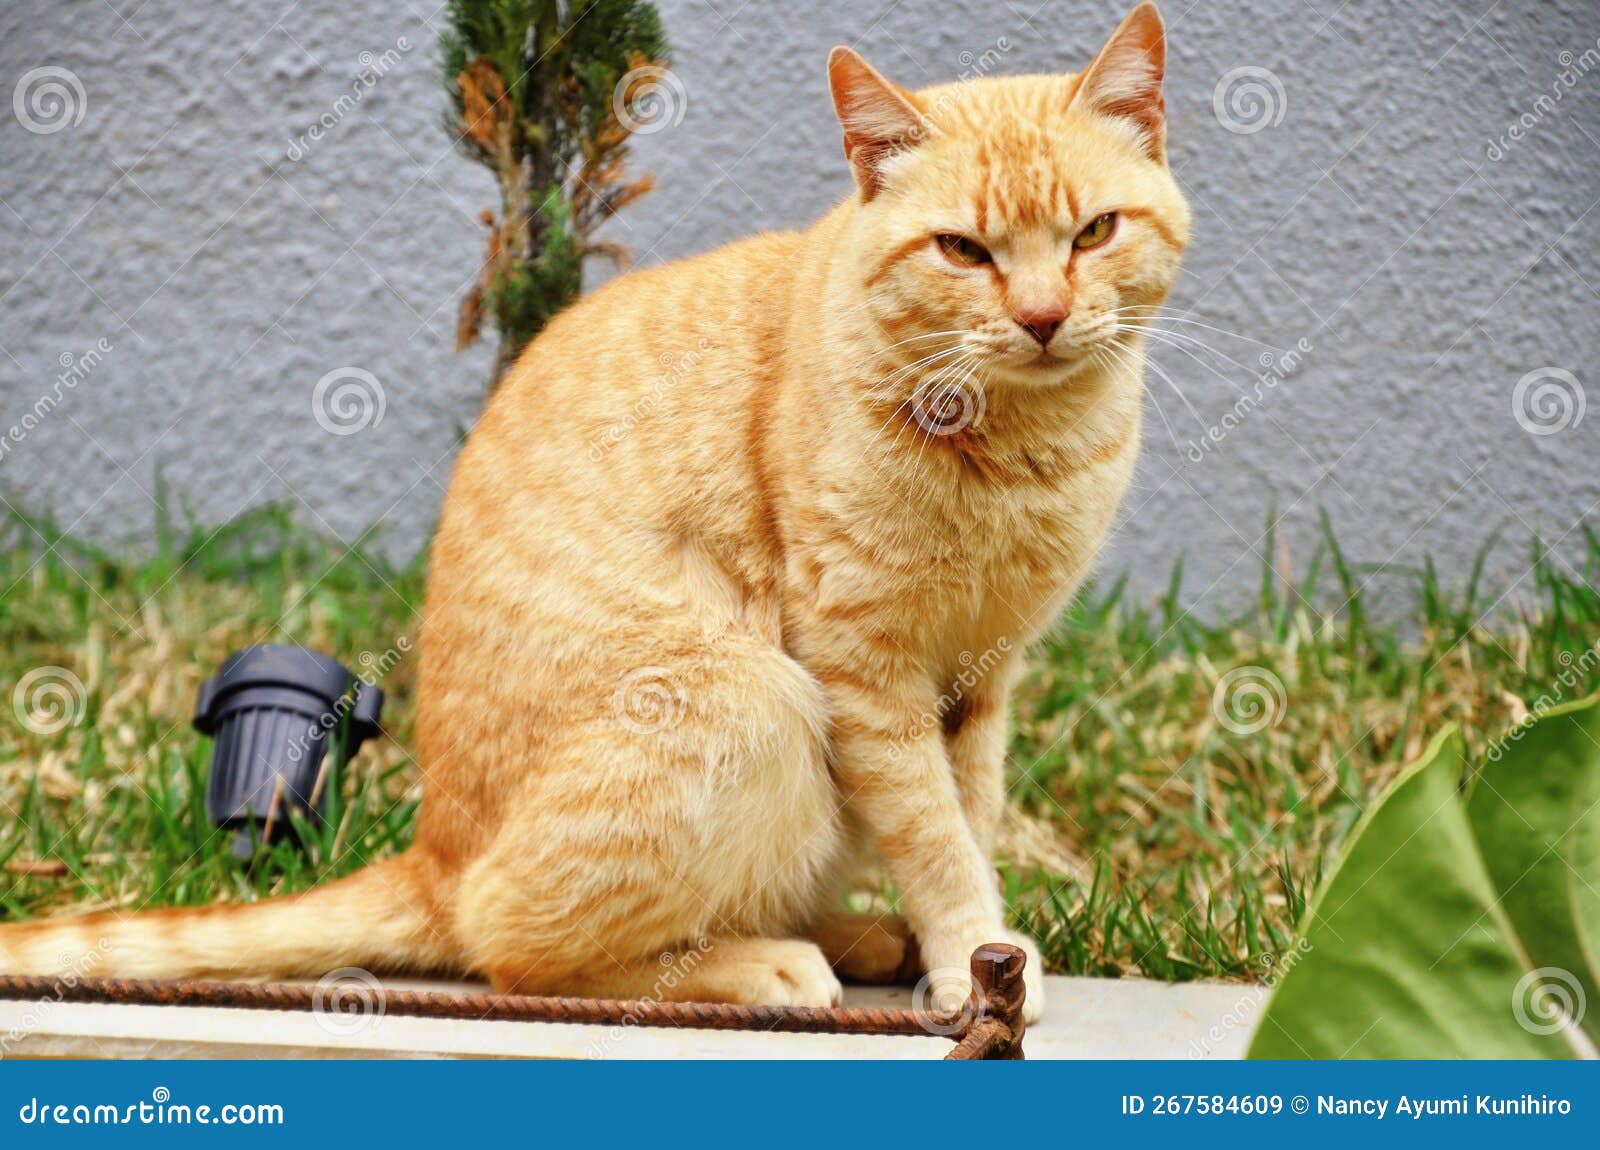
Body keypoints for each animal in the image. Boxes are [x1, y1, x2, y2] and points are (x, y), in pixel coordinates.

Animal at [0, 4, 1190, 1023]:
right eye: (963, 251)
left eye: (1093, 232)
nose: (1042, 316)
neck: (1026, 448)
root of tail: (433, 852)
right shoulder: (867, 672)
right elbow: (935, 833)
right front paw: (971, 962)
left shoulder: (982, 677)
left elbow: (967, 816)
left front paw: (983, 958)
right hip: (756, 696)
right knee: (513, 948)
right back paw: (768, 961)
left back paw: (856, 936)